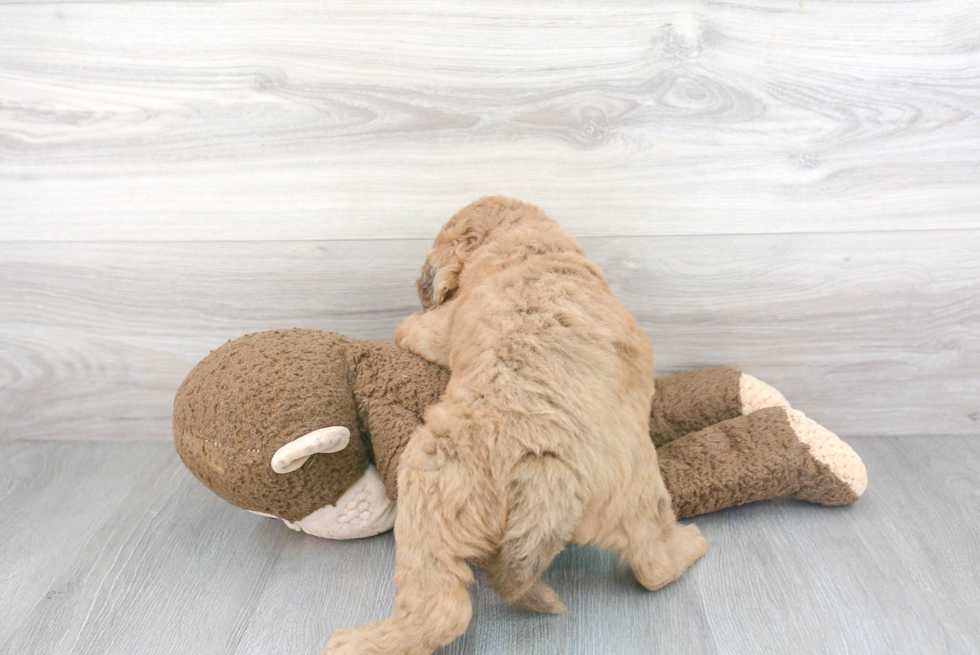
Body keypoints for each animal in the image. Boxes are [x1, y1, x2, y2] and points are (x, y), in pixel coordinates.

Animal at [322, 197, 704, 652]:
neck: (530, 245)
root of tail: (551, 477)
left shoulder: (441, 326)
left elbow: (411, 327)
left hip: (428, 483)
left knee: (442, 611)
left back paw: (364, 640)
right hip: (640, 497)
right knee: (654, 567)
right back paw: (691, 544)